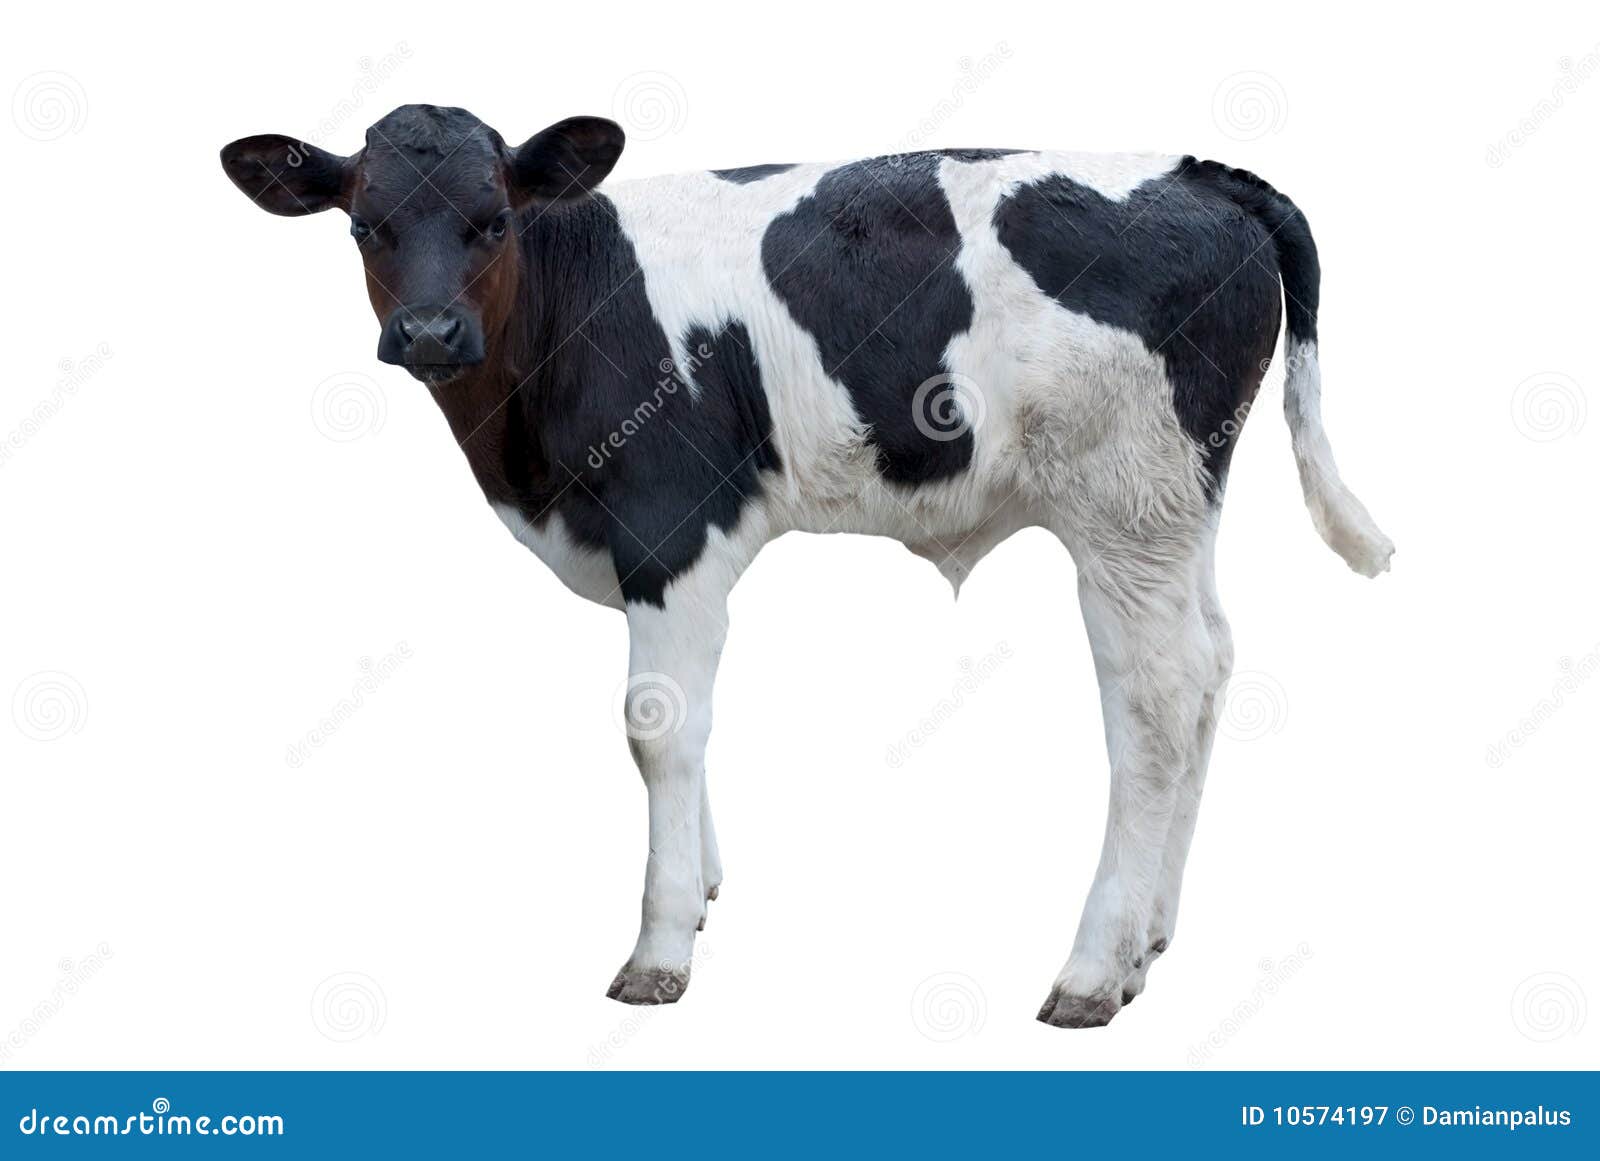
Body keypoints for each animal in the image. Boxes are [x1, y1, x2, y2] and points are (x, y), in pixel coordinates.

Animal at [221, 104, 1392, 1027]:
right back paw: (1151, 939)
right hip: (1177, 508)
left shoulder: (669, 527)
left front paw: (659, 950)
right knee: (1211, 669)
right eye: (364, 224)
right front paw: (700, 890)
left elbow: (656, 730)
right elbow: (684, 728)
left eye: (493, 219)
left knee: (1153, 703)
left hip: (1122, 507)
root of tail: (1199, 172)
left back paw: (1095, 970)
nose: (430, 331)